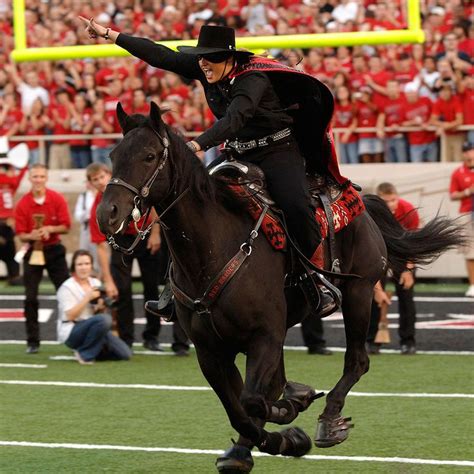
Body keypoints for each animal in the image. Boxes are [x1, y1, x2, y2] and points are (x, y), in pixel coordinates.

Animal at [97, 103, 462, 470]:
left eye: (149, 156)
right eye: (113, 155)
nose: (107, 214)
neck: (215, 248)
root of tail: (362, 201)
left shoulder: (264, 336)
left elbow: (252, 400)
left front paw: (289, 416)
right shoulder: (211, 351)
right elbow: (239, 409)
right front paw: (279, 439)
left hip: (359, 294)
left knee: (357, 360)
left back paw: (329, 420)